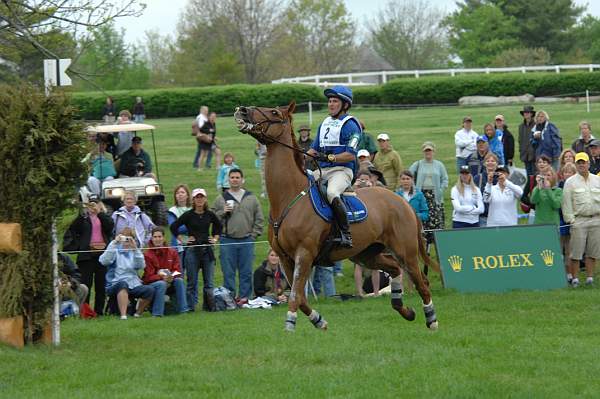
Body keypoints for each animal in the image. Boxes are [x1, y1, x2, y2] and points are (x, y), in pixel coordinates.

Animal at [236, 102, 440, 332]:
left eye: (274, 112)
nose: (242, 110)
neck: (288, 196)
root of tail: (403, 202)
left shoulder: (304, 254)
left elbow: (295, 296)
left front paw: (289, 327)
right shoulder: (285, 258)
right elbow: (301, 298)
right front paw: (319, 321)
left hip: (405, 252)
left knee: (421, 283)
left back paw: (431, 320)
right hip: (366, 254)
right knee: (394, 269)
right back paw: (405, 310)